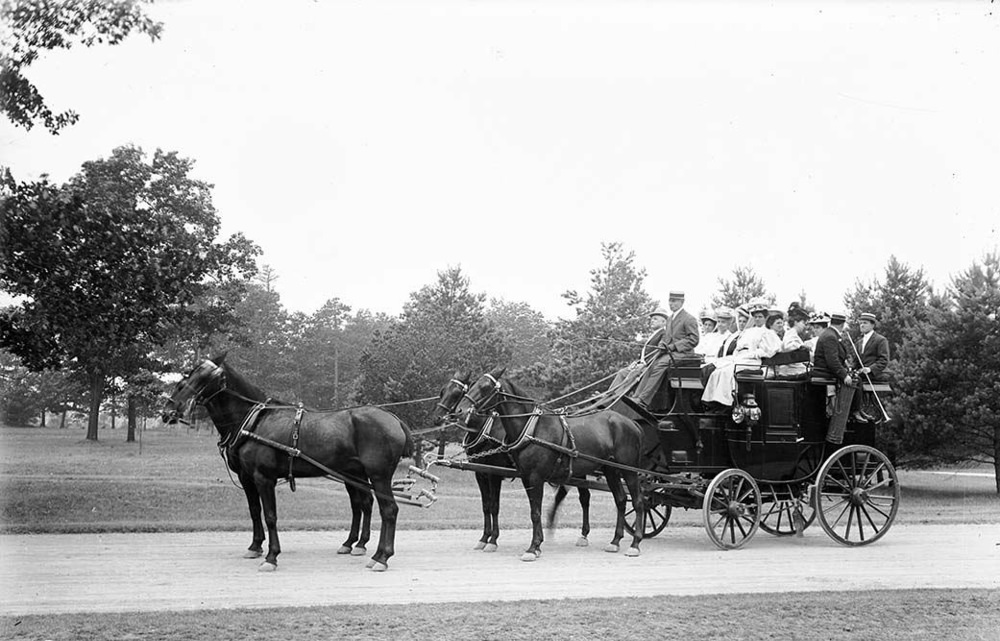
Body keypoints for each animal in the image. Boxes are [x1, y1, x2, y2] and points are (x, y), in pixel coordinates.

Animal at [161, 356, 410, 568]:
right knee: (365, 505)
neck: (254, 421)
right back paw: (361, 547)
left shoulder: (263, 478)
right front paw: (255, 547)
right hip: (356, 474)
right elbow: (254, 511)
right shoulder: (247, 477)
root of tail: (393, 419)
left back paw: (381, 556)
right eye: (185, 379)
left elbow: (270, 516)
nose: (170, 411)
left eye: (205, 377)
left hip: (378, 476)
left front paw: (271, 556)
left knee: (388, 510)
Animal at [432, 370, 592, 552]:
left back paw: (583, 534)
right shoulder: (480, 473)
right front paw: (484, 538)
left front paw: (493, 540)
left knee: (584, 497)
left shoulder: (493, 474)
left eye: (457, 393)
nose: (437, 417)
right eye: (443, 391)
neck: (486, 429)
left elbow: (494, 506)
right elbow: (486, 505)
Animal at [456, 368, 644, 564]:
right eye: (472, 384)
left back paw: (635, 543)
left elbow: (534, 512)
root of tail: (631, 423)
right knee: (620, 500)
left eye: (485, 387)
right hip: (610, 469)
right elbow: (531, 510)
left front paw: (532, 547)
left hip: (629, 470)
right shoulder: (524, 477)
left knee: (637, 501)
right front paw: (536, 545)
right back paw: (615, 540)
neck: (532, 429)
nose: (460, 410)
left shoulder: (533, 477)